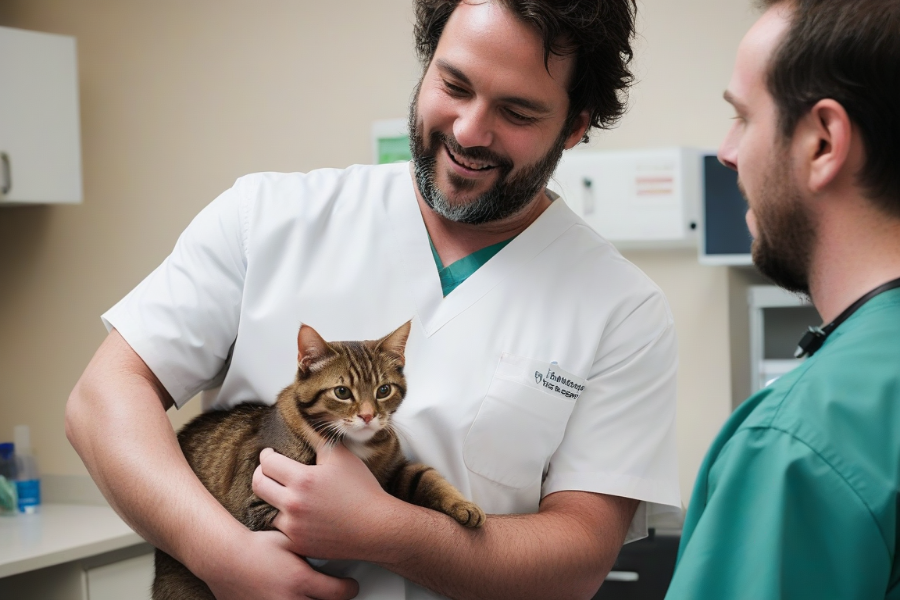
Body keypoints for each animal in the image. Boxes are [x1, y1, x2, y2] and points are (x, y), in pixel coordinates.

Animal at [153, 324, 486, 600]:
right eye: (342, 392)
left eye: (383, 390)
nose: (368, 415)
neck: (355, 445)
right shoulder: (261, 505)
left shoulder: (395, 470)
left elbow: (427, 477)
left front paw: (464, 506)